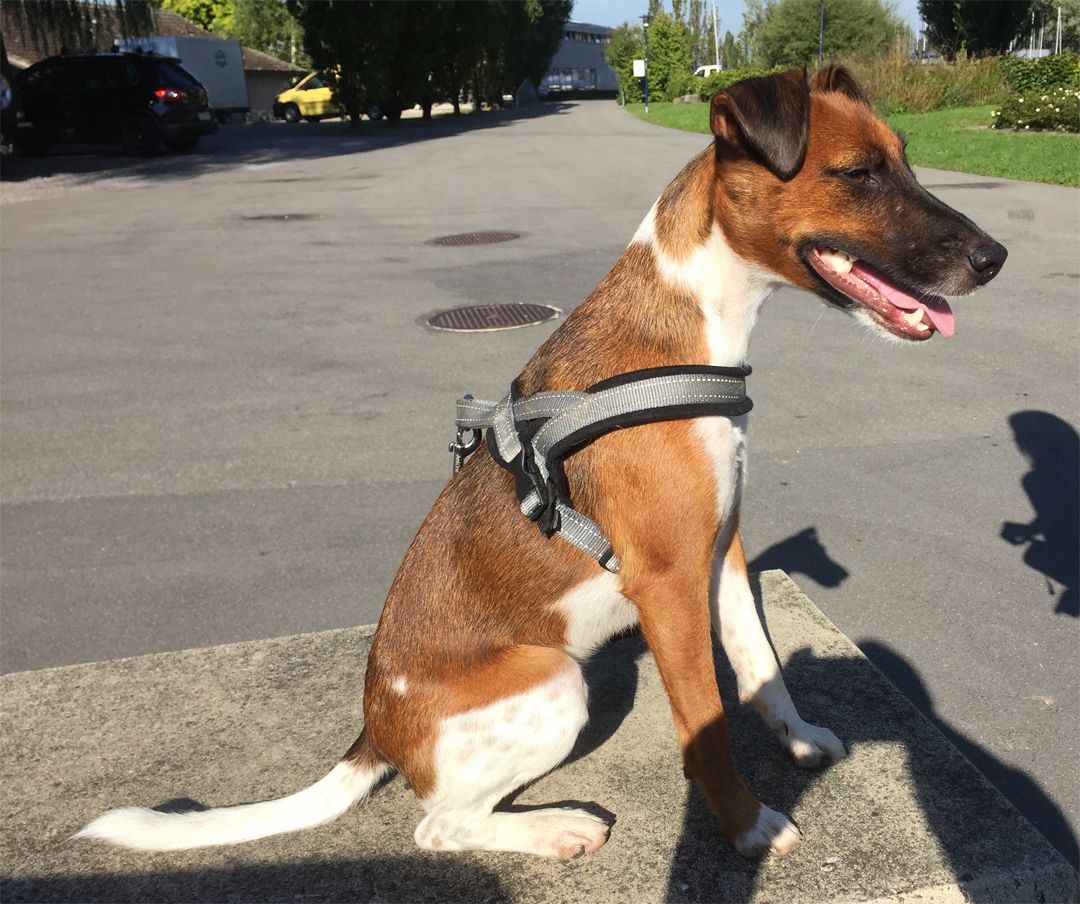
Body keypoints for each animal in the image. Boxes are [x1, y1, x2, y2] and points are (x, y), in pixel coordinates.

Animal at [77, 66, 1006, 860]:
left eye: (907, 162)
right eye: (859, 174)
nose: (994, 259)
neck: (693, 325)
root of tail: (376, 732)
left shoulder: (723, 548)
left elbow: (760, 664)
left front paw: (800, 738)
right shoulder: (668, 581)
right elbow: (706, 731)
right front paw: (747, 827)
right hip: (557, 683)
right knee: (439, 827)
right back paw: (554, 828)